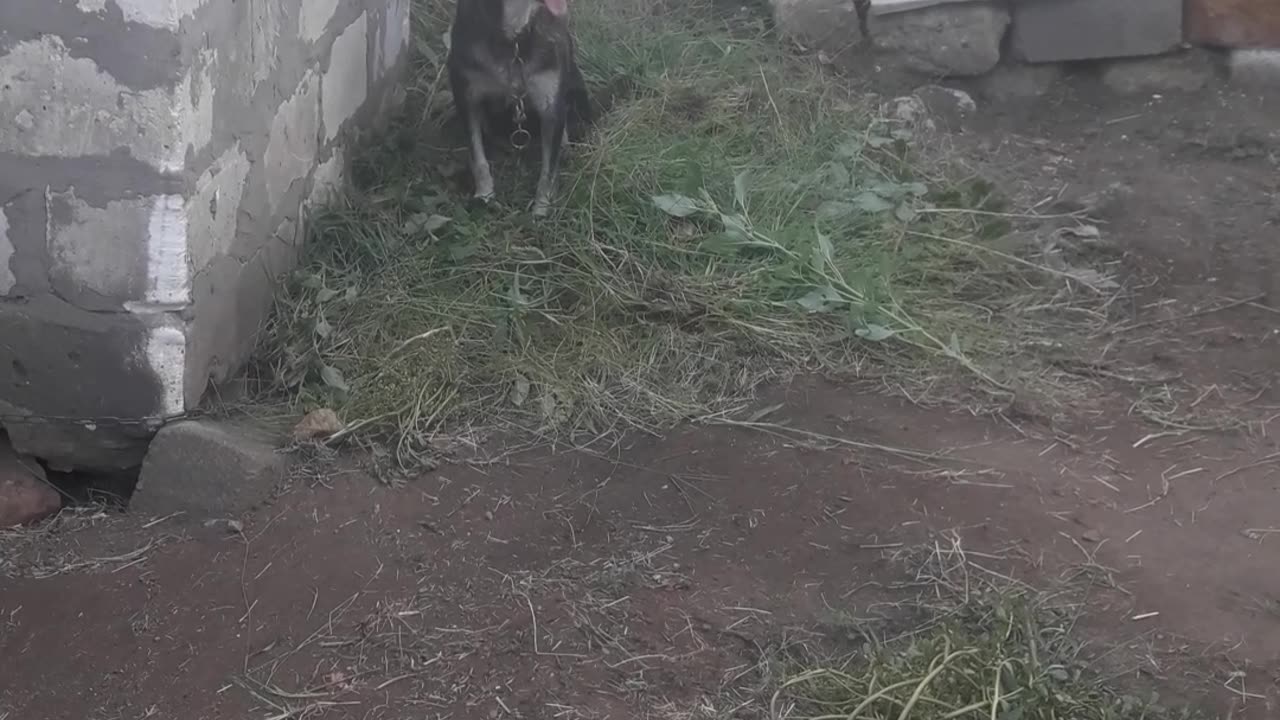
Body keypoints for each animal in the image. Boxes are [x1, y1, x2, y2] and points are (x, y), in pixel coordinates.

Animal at [448, 0, 591, 213]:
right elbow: (477, 156)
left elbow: (548, 171)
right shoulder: (466, 99)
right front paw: (484, 195)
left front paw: (541, 208)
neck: (513, 34)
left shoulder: (551, 105)